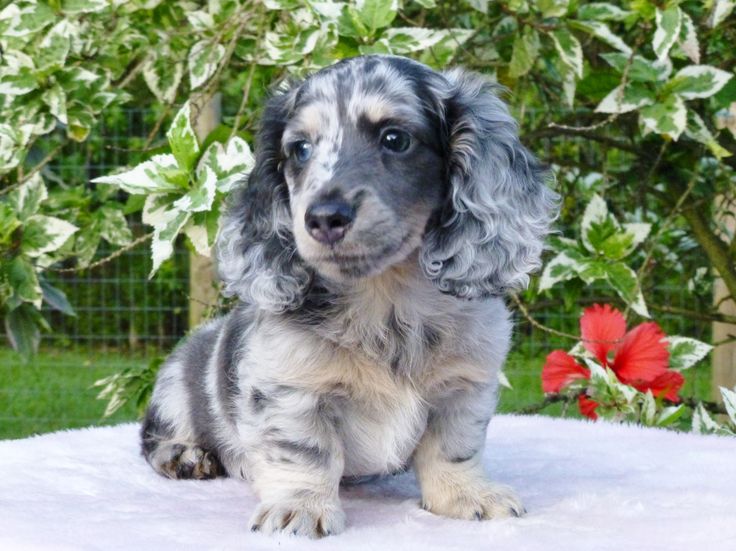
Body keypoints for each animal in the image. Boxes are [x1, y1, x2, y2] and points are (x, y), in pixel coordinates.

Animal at [141, 55, 556, 540]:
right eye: (300, 149)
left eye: (395, 139)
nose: (323, 218)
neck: (387, 304)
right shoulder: (290, 387)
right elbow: (305, 451)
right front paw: (300, 507)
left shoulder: (464, 385)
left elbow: (453, 447)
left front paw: (466, 495)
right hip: (177, 384)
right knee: (152, 439)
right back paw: (187, 456)